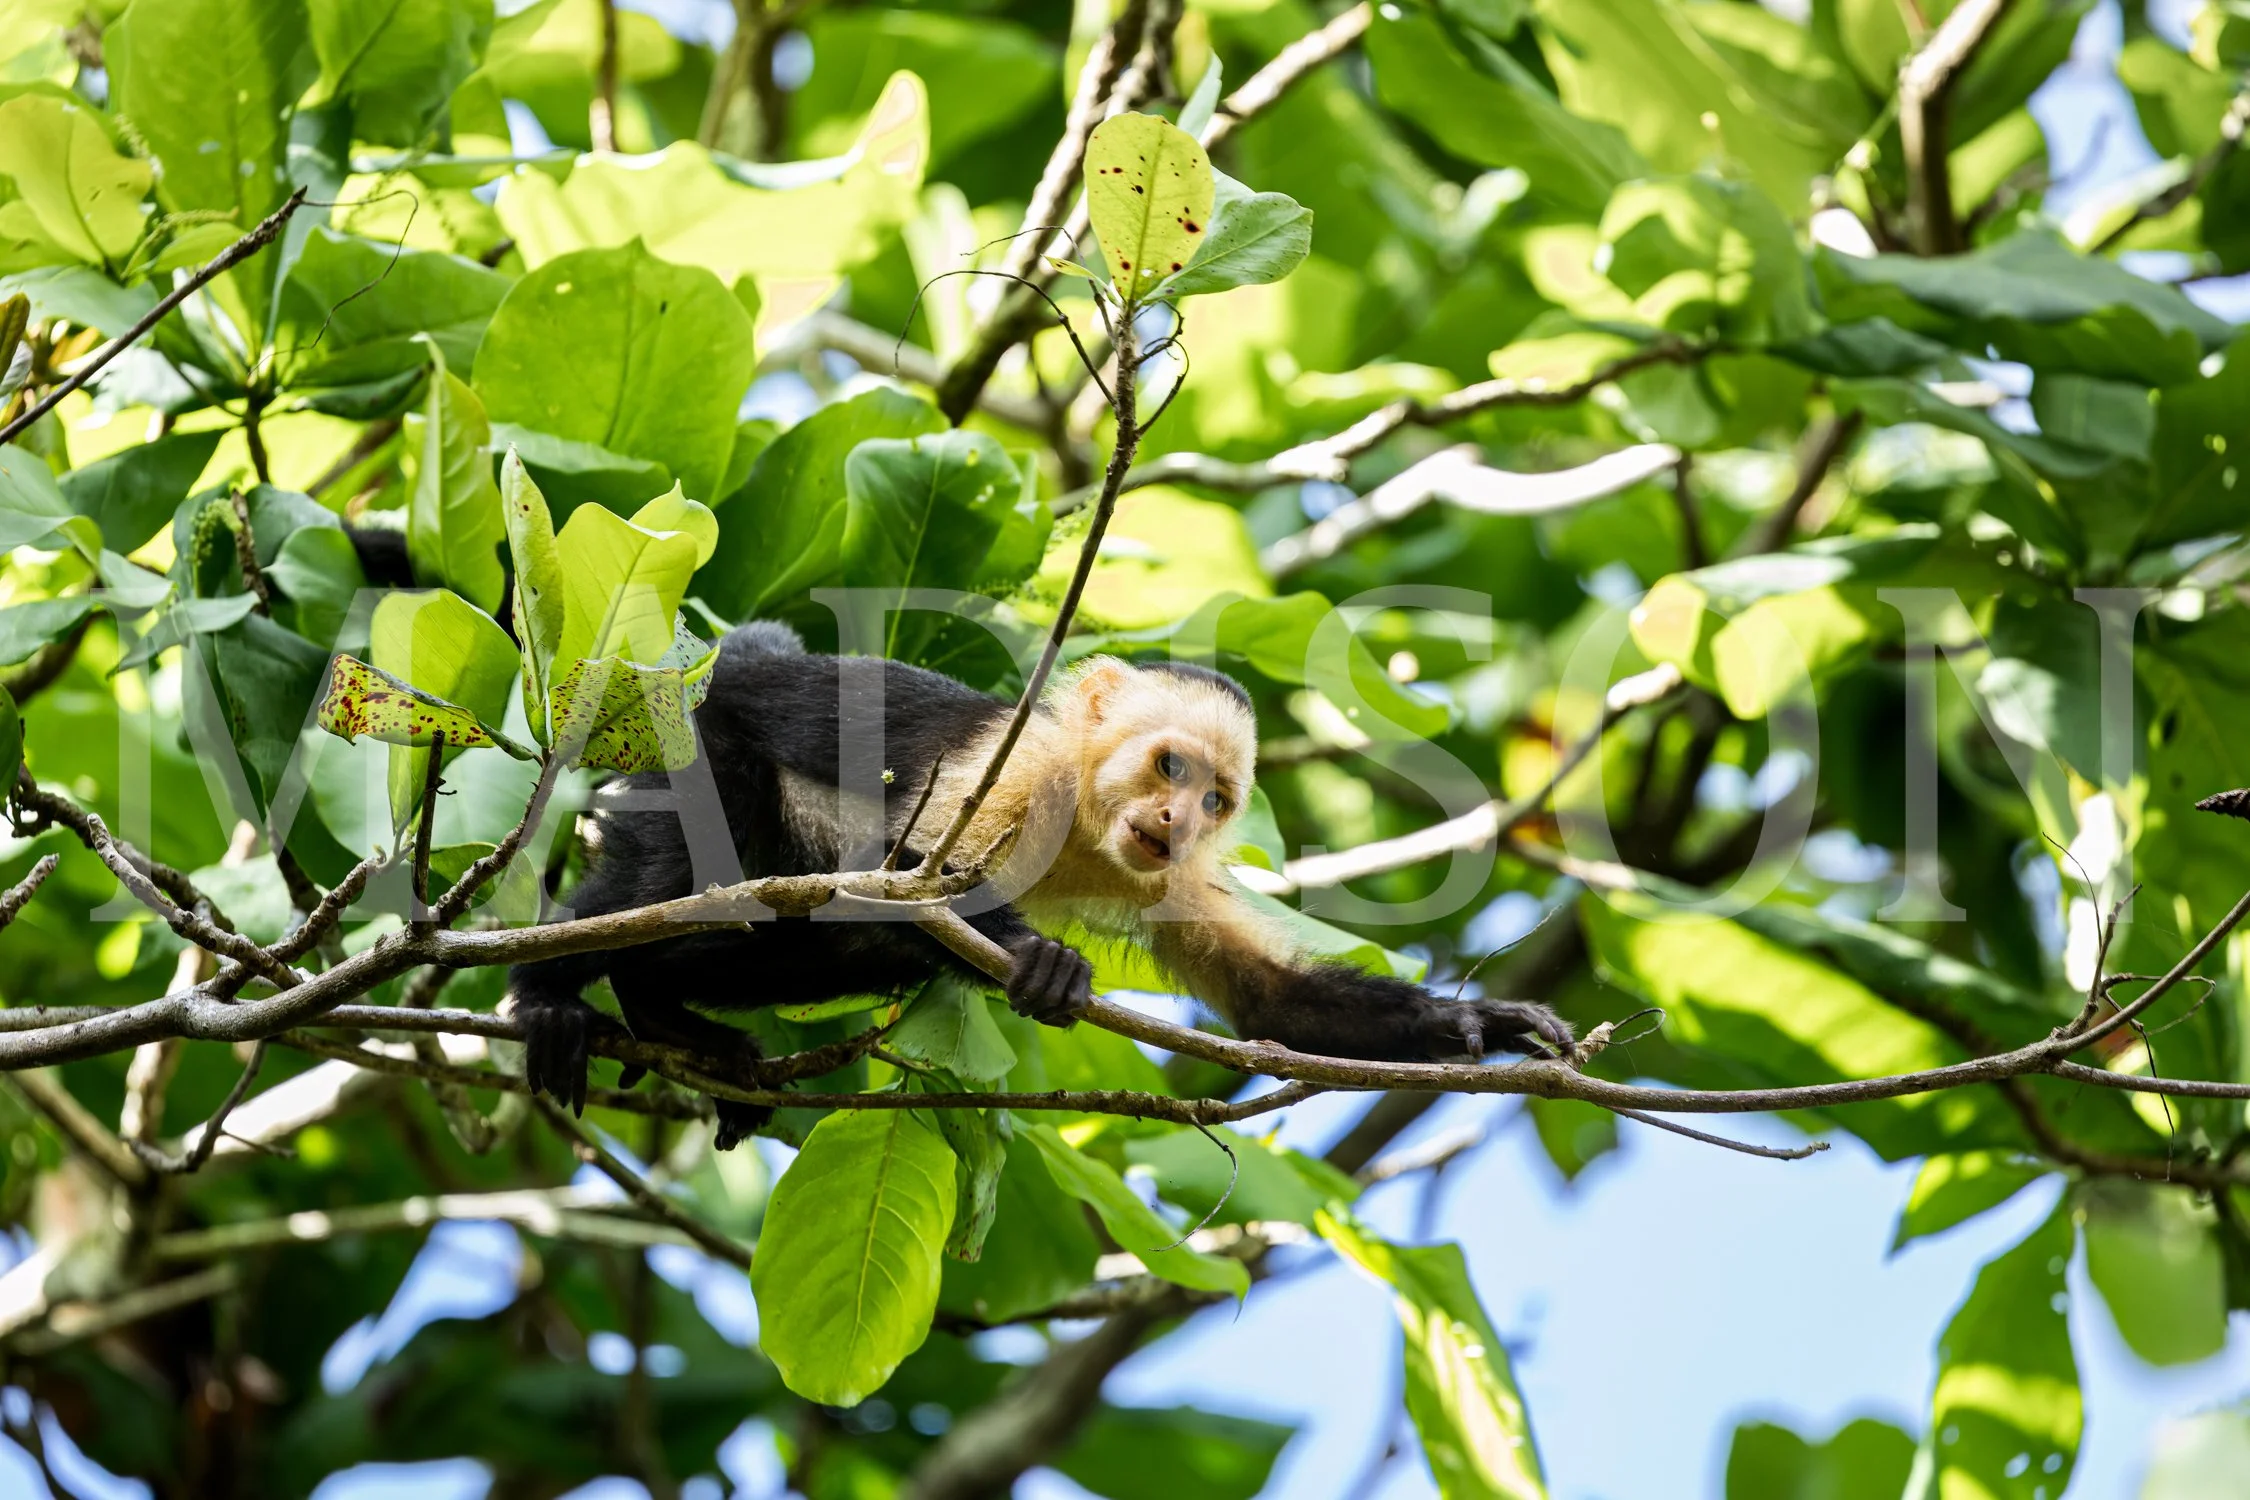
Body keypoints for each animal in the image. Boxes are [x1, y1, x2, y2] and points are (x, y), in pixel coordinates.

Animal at [505, 622, 1573, 1147]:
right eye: (1168, 765)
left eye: (1217, 798)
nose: (1179, 819)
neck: (1088, 823)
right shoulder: (1014, 768)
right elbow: (906, 877)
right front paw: (1044, 964)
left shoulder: (1173, 876)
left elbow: (1273, 1001)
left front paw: (1480, 1025)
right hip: (685, 749)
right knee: (694, 871)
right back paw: (554, 992)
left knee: (801, 945)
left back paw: (664, 1013)